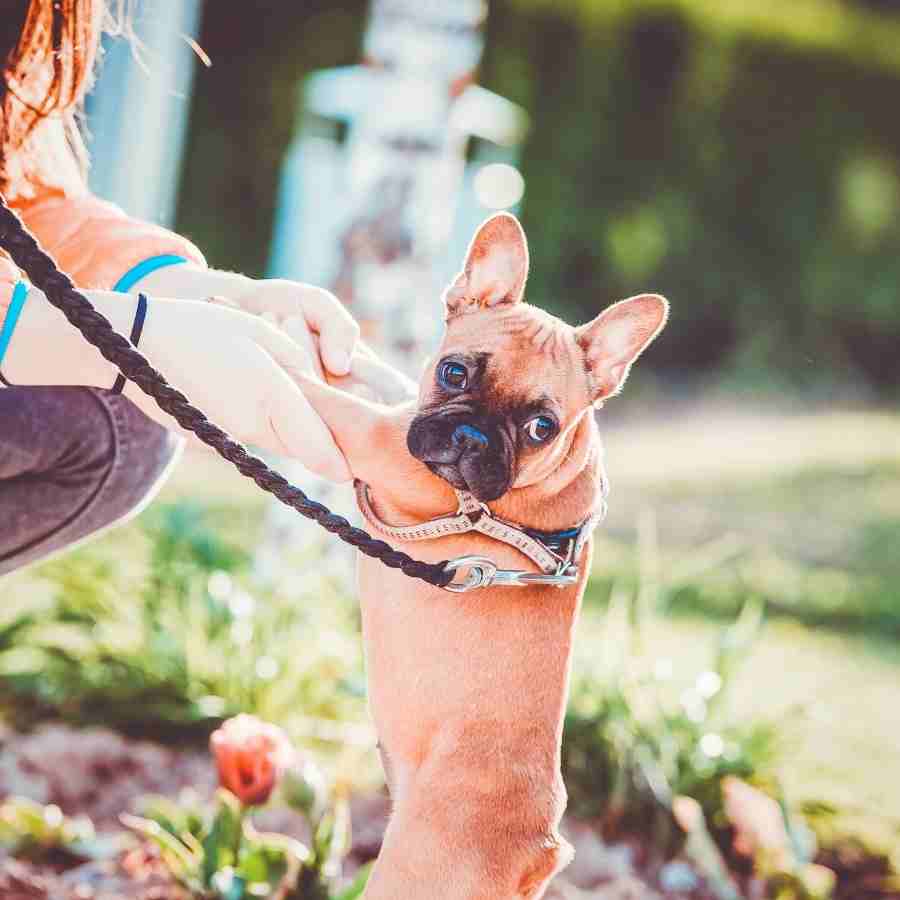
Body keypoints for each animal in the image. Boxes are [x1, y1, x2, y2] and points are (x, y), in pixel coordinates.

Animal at [300, 214, 668, 896]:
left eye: (542, 427)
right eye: (453, 373)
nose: (473, 436)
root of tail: (541, 849)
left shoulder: (380, 442)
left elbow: (320, 396)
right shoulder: (397, 417)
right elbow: (349, 382)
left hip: (412, 874)